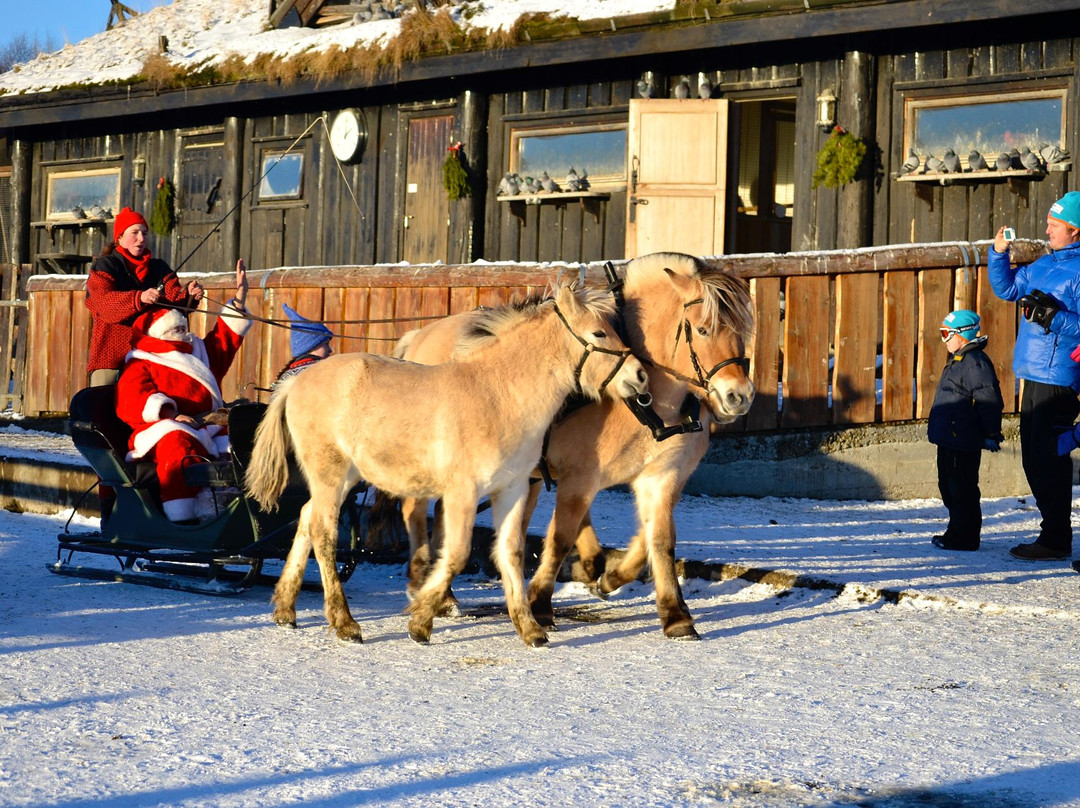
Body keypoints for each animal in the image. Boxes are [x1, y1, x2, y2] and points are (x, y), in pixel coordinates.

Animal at [246, 280, 648, 648]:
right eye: (599, 332)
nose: (641, 376)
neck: (499, 395)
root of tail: (297, 382)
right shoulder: (462, 493)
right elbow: (455, 555)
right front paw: (422, 621)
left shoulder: (512, 489)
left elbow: (511, 552)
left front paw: (530, 629)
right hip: (330, 474)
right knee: (324, 535)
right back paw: (345, 623)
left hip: (343, 478)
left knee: (306, 519)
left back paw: (285, 609)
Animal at [393, 252, 756, 639]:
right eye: (702, 329)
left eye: (743, 332)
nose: (739, 396)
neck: (649, 405)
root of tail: (421, 335)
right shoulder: (579, 479)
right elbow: (559, 540)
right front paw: (540, 603)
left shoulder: (662, 476)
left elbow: (658, 540)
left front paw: (671, 612)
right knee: (415, 510)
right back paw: (422, 583)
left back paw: (446, 594)